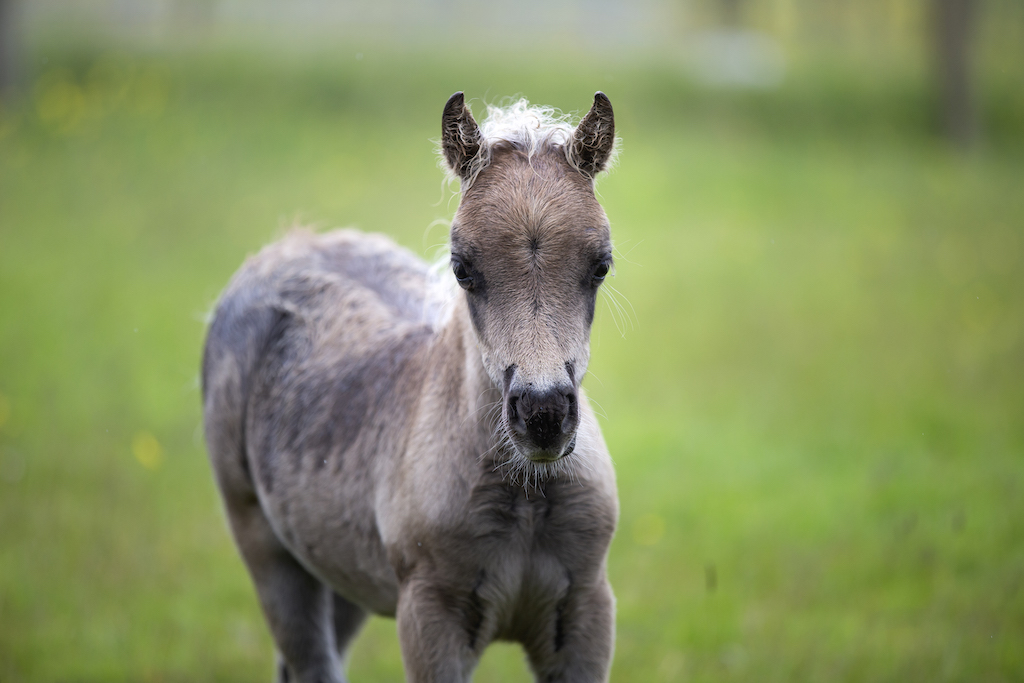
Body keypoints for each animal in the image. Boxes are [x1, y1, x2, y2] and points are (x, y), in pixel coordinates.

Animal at [202, 91, 620, 683]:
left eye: (601, 265)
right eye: (462, 268)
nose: (543, 414)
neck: (524, 496)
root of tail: (290, 243)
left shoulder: (587, 613)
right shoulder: (428, 618)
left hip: (338, 566)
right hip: (268, 550)